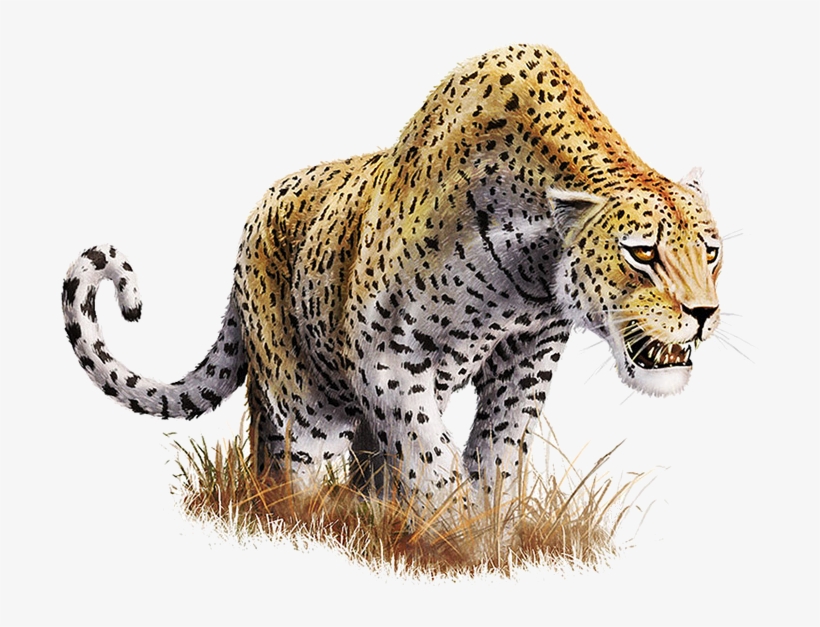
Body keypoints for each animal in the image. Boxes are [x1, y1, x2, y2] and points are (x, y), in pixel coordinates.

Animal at [63, 44, 721, 510]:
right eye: (642, 254)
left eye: (711, 253)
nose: (704, 313)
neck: (534, 274)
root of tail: (253, 220)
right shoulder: (388, 358)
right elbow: (430, 457)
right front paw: (454, 535)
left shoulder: (526, 361)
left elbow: (498, 455)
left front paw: (489, 533)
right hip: (306, 396)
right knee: (299, 466)